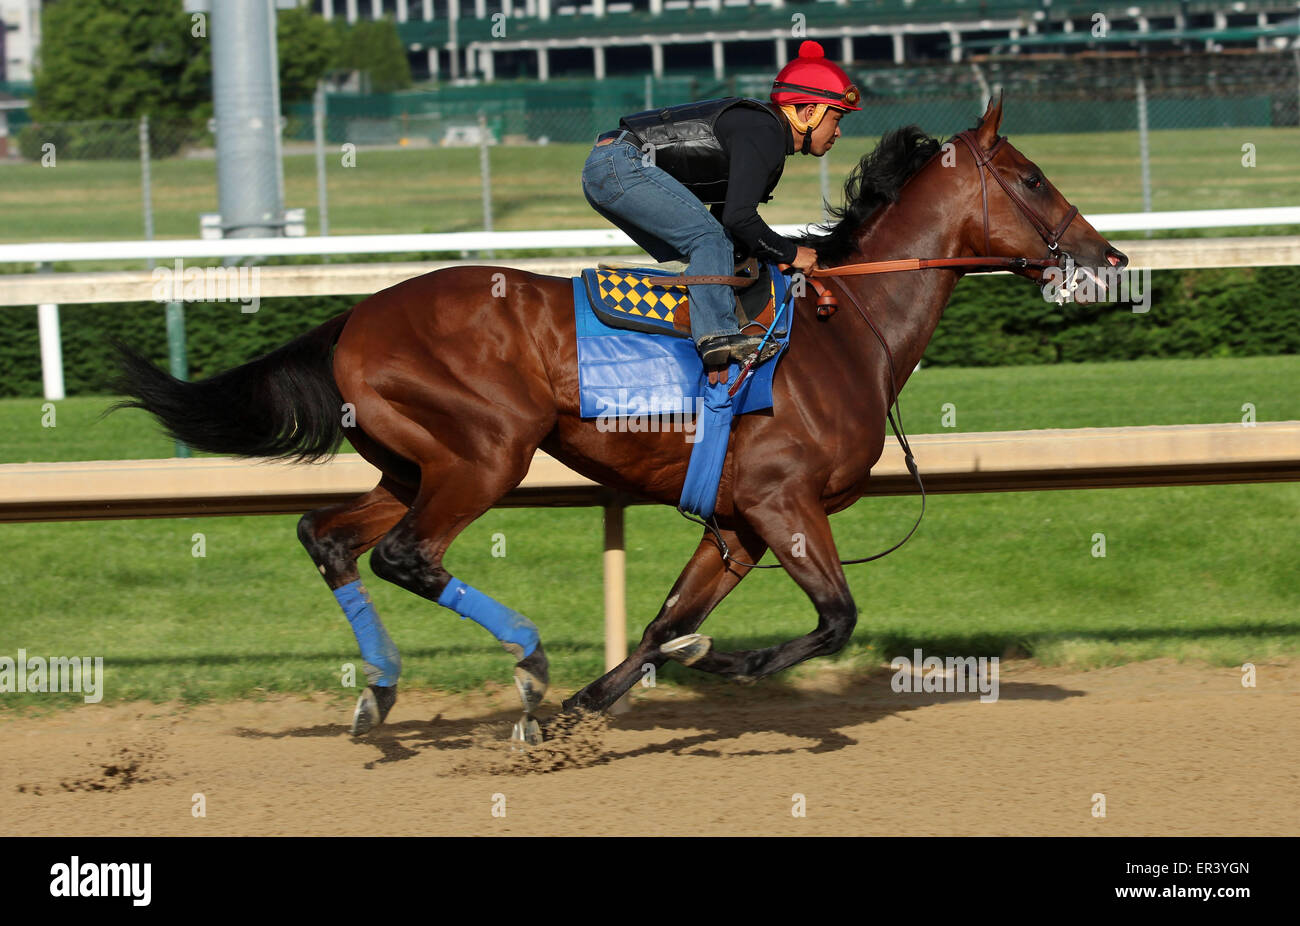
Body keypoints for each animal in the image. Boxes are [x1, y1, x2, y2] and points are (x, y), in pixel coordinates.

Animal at [111, 97, 1128, 738]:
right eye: (1032, 178)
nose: (1108, 257)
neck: (848, 329)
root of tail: (354, 317)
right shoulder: (783, 504)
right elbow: (833, 618)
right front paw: (717, 666)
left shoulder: (736, 524)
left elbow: (658, 626)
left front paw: (586, 711)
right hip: (486, 455)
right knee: (408, 555)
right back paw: (524, 662)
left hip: (411, 464)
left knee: (328, 537)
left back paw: (384, 691)